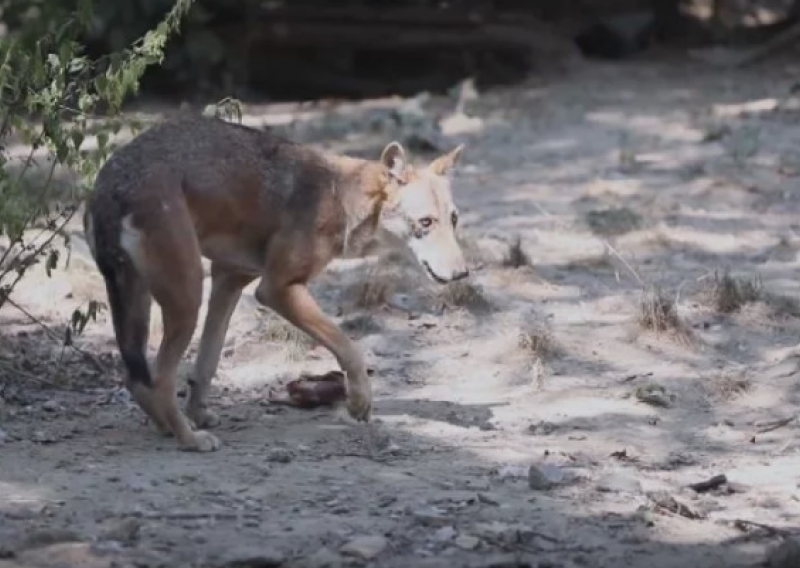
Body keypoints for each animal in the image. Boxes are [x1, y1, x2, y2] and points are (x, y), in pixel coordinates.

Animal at [81, 115, 468, 452]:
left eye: (453, 220)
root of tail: (109, 183)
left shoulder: (229, 280)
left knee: (135, 377)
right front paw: (359, 402)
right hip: (187, 298)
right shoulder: (277, 288)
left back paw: (169, 426)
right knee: (159, 378)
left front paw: (199, 413)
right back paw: (188, 440)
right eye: (425, 222)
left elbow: (206, 364)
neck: (341, 198)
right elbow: (350, 348)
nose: (462, 274)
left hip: (147, 302)